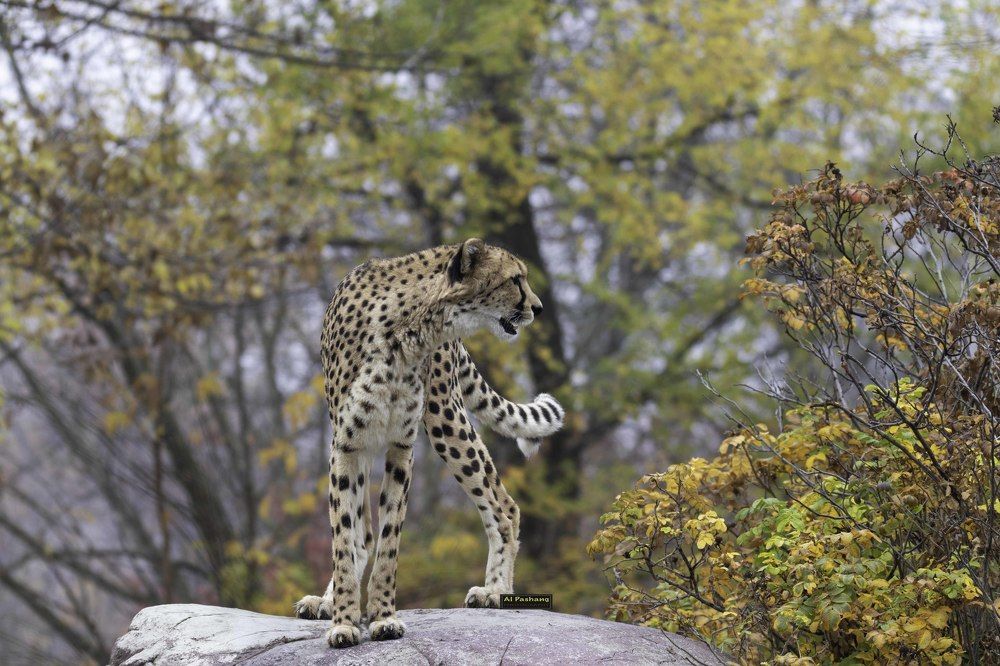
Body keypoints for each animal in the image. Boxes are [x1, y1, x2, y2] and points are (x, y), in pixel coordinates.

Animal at [293, 238, 566, 648]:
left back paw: (496, 592)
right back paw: (328, 600)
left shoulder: (401, 446)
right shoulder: (347, 444)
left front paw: (384, 617)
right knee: (361, 532)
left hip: (443, 416)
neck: (412, 326)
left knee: (503, 506)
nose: (538, 307)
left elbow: (390, 540)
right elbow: (345, 533)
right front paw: (344, 621)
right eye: (515, 279)